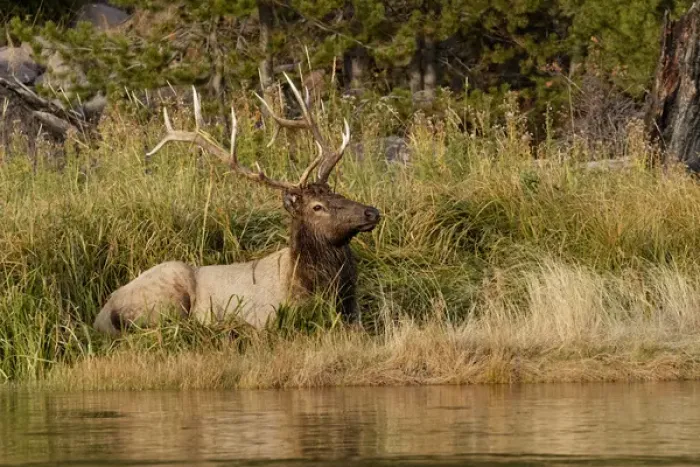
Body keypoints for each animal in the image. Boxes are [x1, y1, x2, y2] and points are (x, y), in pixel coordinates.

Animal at [93, 73, 381, 335]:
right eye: (317, 207)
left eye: (336, 192)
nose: (372, 212)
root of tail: (102, 315)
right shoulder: (268, 318)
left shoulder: (353, 311)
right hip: (168, 293)